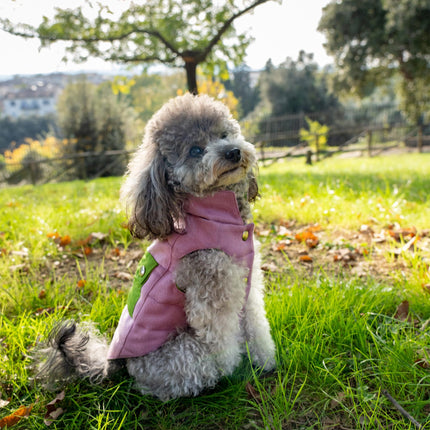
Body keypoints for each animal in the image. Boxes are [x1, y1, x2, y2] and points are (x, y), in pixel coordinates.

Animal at [36, 92, 276, 402]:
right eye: (196, 150)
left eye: (224, 134)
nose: (233, 152)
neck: (220, 216)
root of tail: (114, 367)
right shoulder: (212, 289)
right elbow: (221, 337)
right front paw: (233, 370)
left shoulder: (247, 281)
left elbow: (256, 322)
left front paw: (265, 361)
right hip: (182, 355)